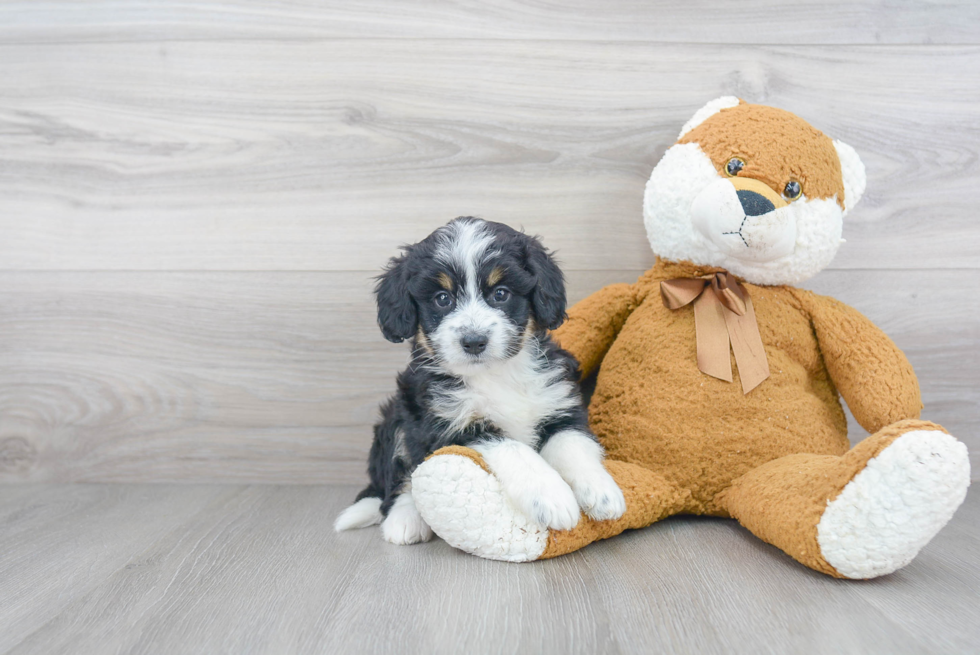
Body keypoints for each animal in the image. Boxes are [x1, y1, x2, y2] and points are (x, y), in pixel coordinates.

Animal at [336, 218, 624, 544]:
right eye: (442, 299)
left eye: (500, 293)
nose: (474, 341)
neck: (496, 374)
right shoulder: (447, 425)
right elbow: (515, 450)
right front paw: (552, 497)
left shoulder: (559, 405)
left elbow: (571, 444)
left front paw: (601, 491)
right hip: (397, 418)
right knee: (400, 480)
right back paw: (405, 520)